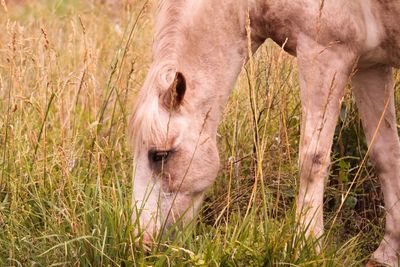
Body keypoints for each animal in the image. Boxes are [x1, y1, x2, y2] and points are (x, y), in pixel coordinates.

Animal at [131, 1, 400, 266]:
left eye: (160, 154)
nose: (142, 242)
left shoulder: (323, 54)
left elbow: (312, 160)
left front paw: (306, 246)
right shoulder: (370, 66)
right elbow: (385, 155)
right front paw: (388, 251)